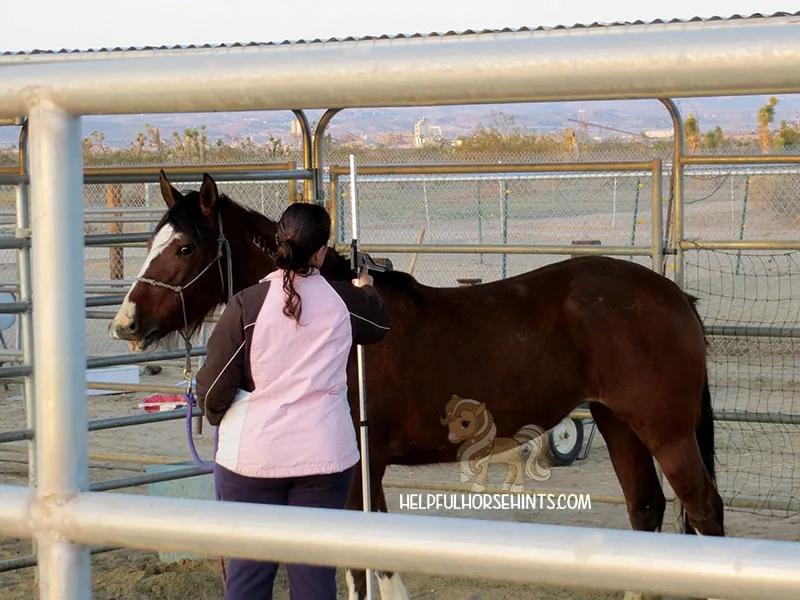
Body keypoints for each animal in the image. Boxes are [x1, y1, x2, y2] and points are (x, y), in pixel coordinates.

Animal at [111, 170, 724, 600]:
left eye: (185, 247)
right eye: (153, 241)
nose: (126, 323)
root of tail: (674, 296)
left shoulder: (359, 468)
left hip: (665, 430)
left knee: (702, 509)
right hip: (617, 420)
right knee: (645, 508)